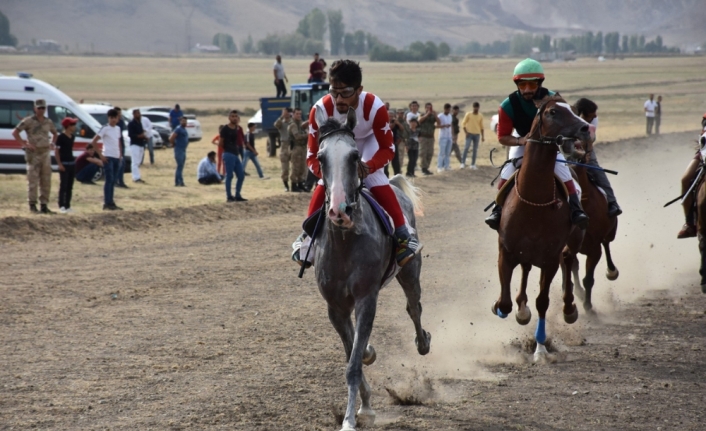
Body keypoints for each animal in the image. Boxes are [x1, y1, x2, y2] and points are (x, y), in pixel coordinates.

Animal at [312, 108, 432, 431]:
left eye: (355, 156)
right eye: (321, 157)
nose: (339, 211)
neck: (345, 244)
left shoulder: (367, 299)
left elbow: (353, 364)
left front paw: (350, 419)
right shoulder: (335, 307)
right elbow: (353, 351)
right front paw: (365, 404)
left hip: (410, 271)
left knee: (414, 306)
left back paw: (423, 342)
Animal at [490, 97, 588, 362]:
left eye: (573, 109)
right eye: (553, 112)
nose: (585, 128)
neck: (533, 201)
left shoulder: (549, 258)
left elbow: (543, 301)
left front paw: (540, 348)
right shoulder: (505, 251)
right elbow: (504, 302)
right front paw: (508, 308)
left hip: (572, 241)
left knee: (569, 260)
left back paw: (569, 308)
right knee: (525, 270)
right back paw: (522, 308)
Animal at [560, 152, 616, 310]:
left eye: (579, 164)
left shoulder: (594, 248)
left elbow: (589, 279)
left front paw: (588, 305)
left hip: (611, 233)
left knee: (606, 243)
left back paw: (612, 271)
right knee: (574, 265)